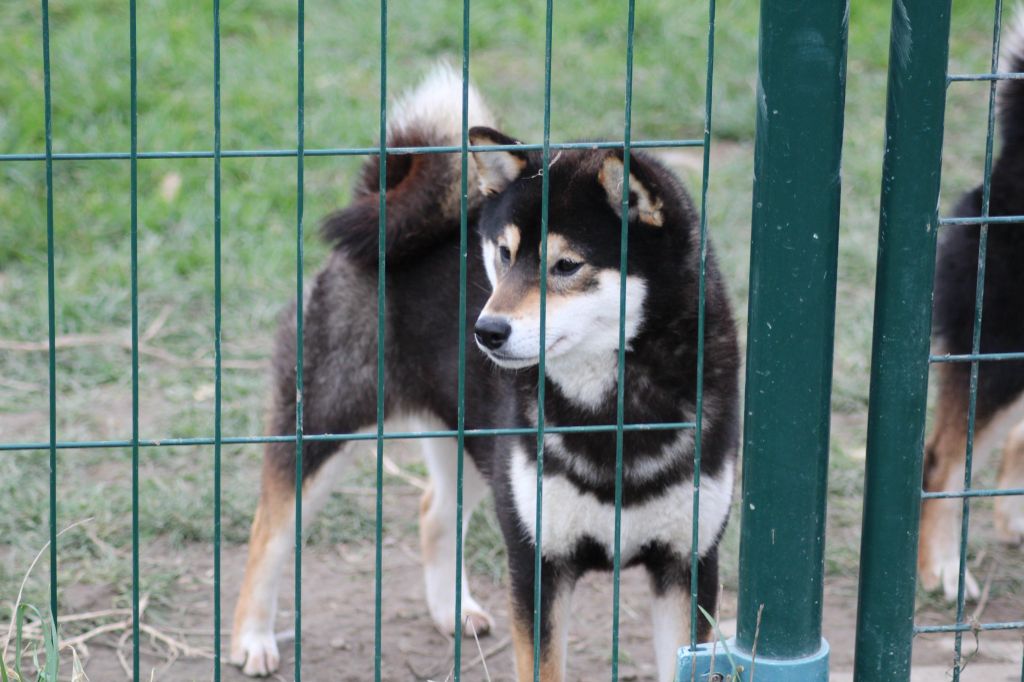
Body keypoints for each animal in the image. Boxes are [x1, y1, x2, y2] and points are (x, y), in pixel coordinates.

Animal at [228, 65, 741, 679]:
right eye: (503, 254)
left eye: (566, 265)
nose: (486, 330)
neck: (612, 413)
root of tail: (385, 209)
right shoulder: (536, 562)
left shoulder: (688, 565)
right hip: (326, 422)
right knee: (270, 527)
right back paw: (251, 638)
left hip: (472, 443)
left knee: (433, 511)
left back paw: (452, 610)